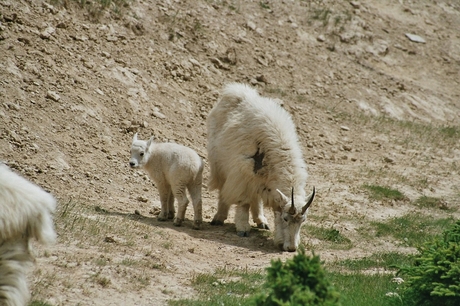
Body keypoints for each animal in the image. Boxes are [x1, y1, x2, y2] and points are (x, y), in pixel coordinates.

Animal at [207, 82, 314, 252]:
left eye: (303, 221)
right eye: (285, 218)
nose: (291, 248)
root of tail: (234, 90)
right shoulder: (242, 174)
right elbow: (243, 203)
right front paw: (243, 228)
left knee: (256, 197)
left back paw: (261, 220)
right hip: (220, 165)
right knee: (224, 191)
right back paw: (219, 217)